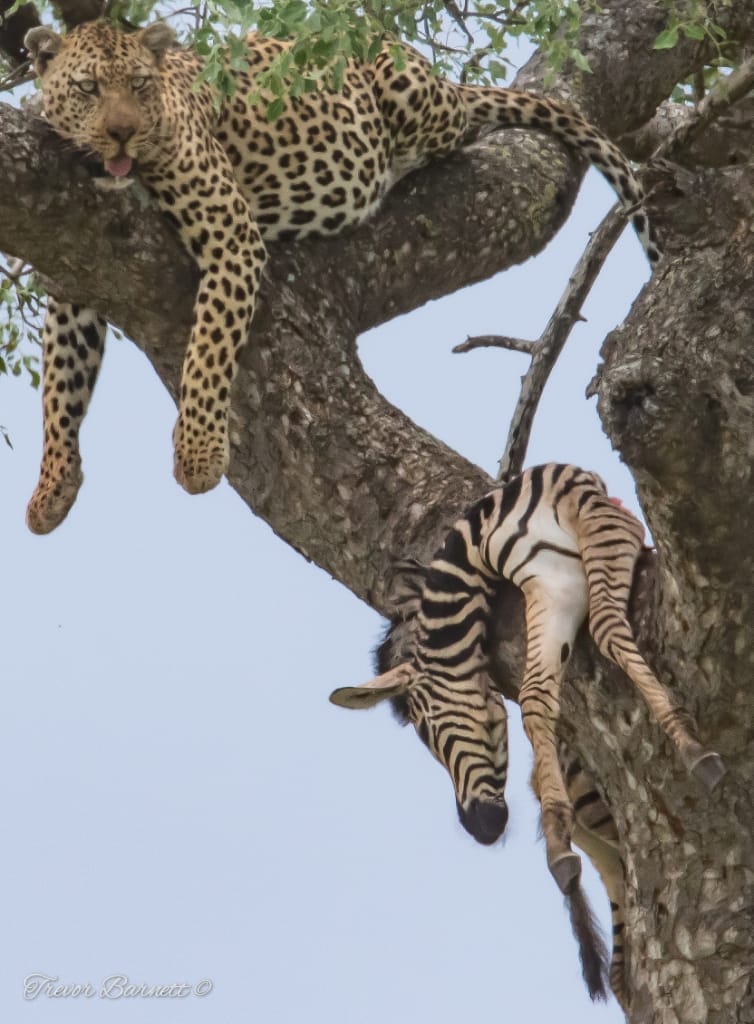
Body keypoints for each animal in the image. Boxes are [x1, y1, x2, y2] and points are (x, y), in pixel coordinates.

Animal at [23, 19, 660, 534]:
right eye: (88, 89)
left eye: (139, 85)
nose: (122, 133)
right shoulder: (74, 270)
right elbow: (61, 382)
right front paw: (51, 489)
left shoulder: (231, 230)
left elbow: (207, 351)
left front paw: (198, 456)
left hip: (414, 98)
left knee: (461, 118)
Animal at [330, 463, 725, 1002]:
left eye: (426, 732)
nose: (479, 828)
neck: (479, 537)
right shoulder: (555, 582)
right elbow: (537, 696)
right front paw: (557, 842)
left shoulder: (602, 523)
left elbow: (602, 631)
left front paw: (687, 741)